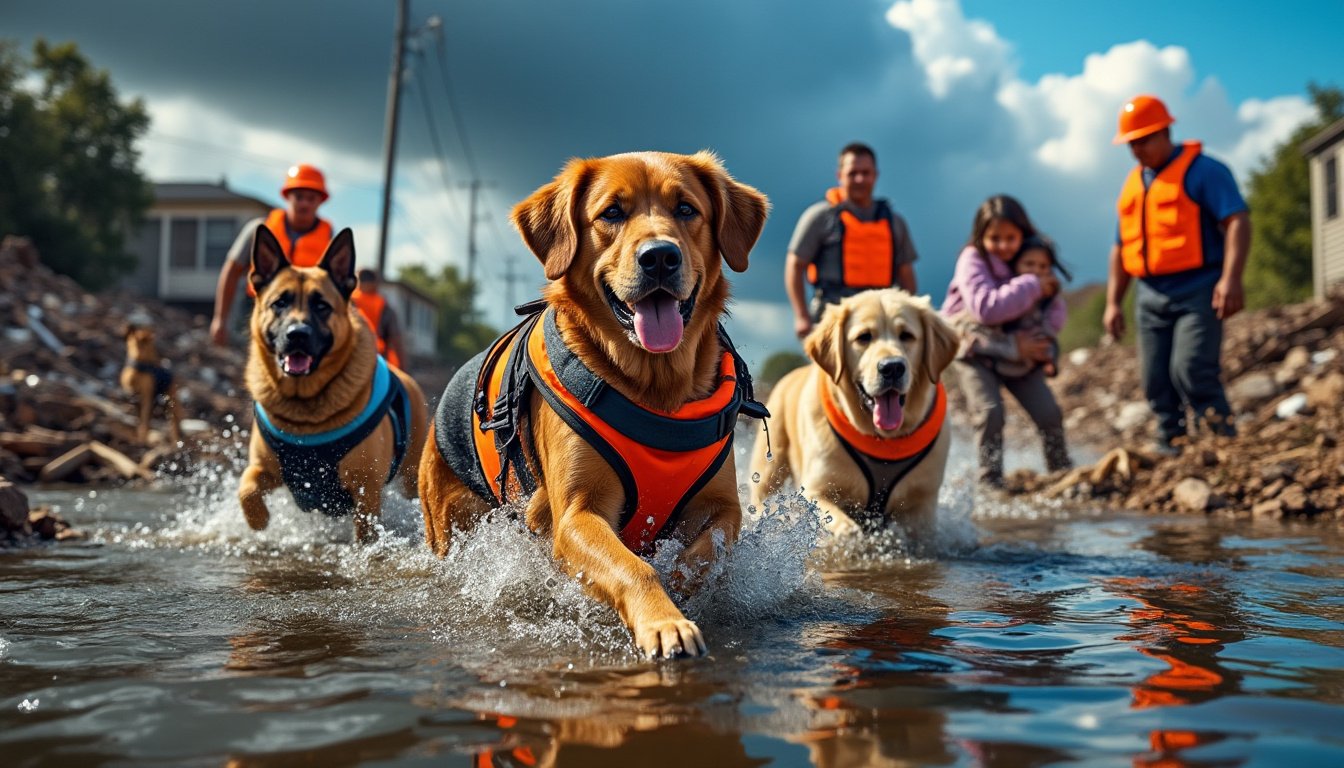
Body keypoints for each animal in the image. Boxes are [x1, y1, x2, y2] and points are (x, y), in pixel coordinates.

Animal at [239, 227, 427, 540]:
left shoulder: (366, 490)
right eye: (279, 303)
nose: (297, 334)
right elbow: (246, 490)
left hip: (411, 475)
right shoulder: (262, 467)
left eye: (321, 306)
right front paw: (259, 522)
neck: (304, 410)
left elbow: (365, 533)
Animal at [424, 151, 774, 661]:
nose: (660, 256)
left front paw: (679, 586)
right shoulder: (576, 515)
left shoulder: (723, 507)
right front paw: (664, 620)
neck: (656, 389)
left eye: (686, 209)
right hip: (449, 523)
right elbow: (633, 567)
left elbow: (706, 554)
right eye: (611, 213)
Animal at [752, 287, 962, 540]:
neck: (882, 439)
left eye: (907, 335)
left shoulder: (922, 504)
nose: (892, 367)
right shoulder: (815, 489)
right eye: (863, 337)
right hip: (769, 466)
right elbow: (844, 527)